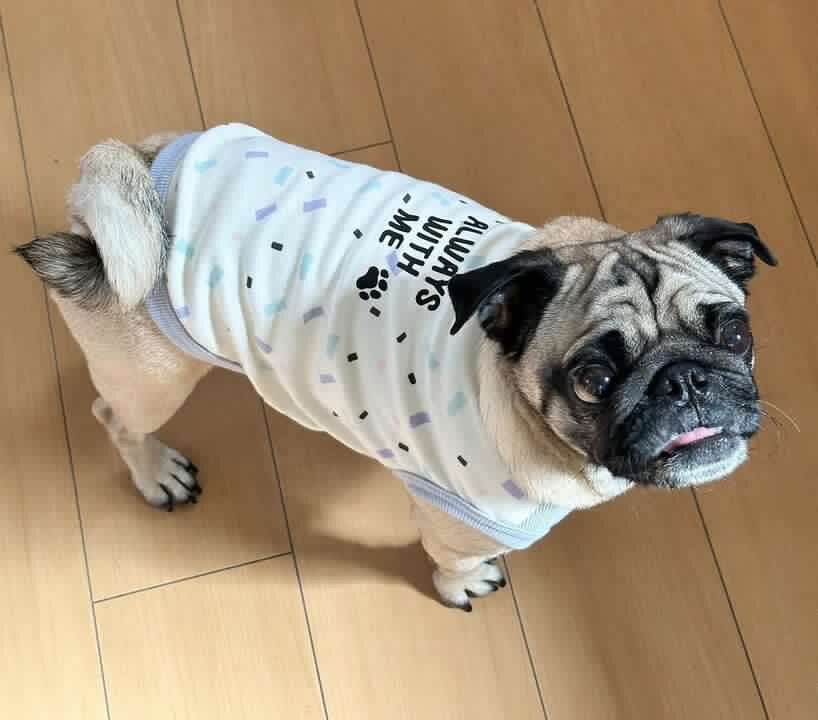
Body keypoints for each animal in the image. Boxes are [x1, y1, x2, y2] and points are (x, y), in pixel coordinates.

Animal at [17, 124, 776, 610]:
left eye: (736, 333)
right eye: (594, 380)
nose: (685, 379)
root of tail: (130, 168)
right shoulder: (458, 518)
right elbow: (451, 559)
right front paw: (460, 587)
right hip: (153, 376)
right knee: (114, 416)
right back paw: (156, 473)